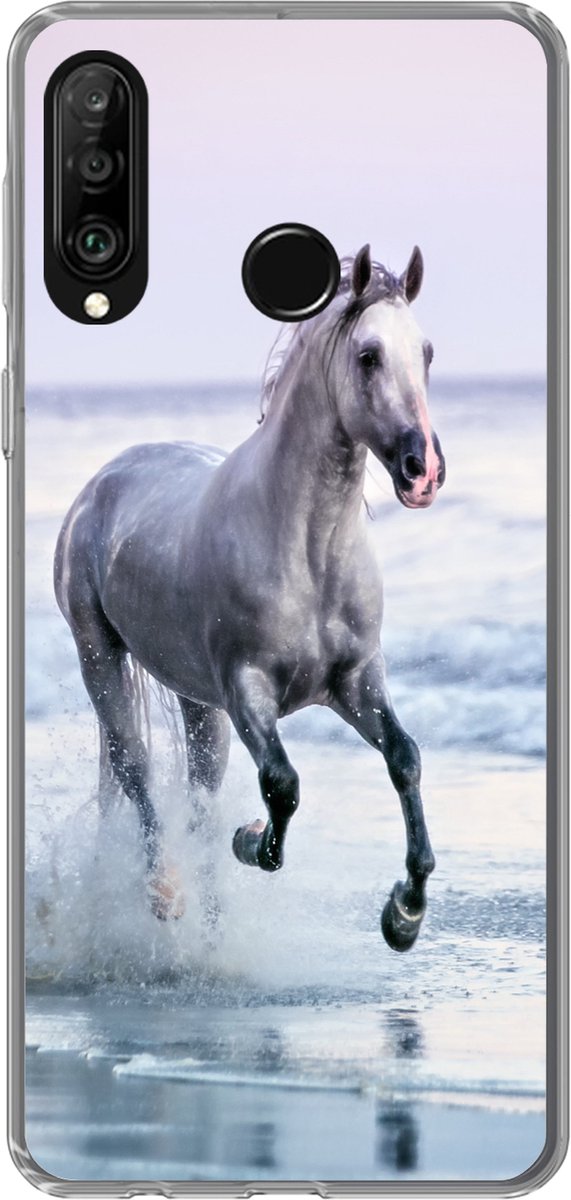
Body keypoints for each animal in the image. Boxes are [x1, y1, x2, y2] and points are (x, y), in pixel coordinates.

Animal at [54, 243, 445, 952]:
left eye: (425, 352)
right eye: (368, 355)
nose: (422, 470)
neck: (307, 550)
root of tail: (101, 483)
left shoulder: (356, 681)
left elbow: (405, 758)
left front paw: (404, 915)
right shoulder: (247, 690)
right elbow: (282, 786)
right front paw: (252, 840)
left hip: (194, 699)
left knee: (198, 797)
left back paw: (212, 935)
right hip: (101, 659)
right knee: (135, 771)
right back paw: (164, 892)